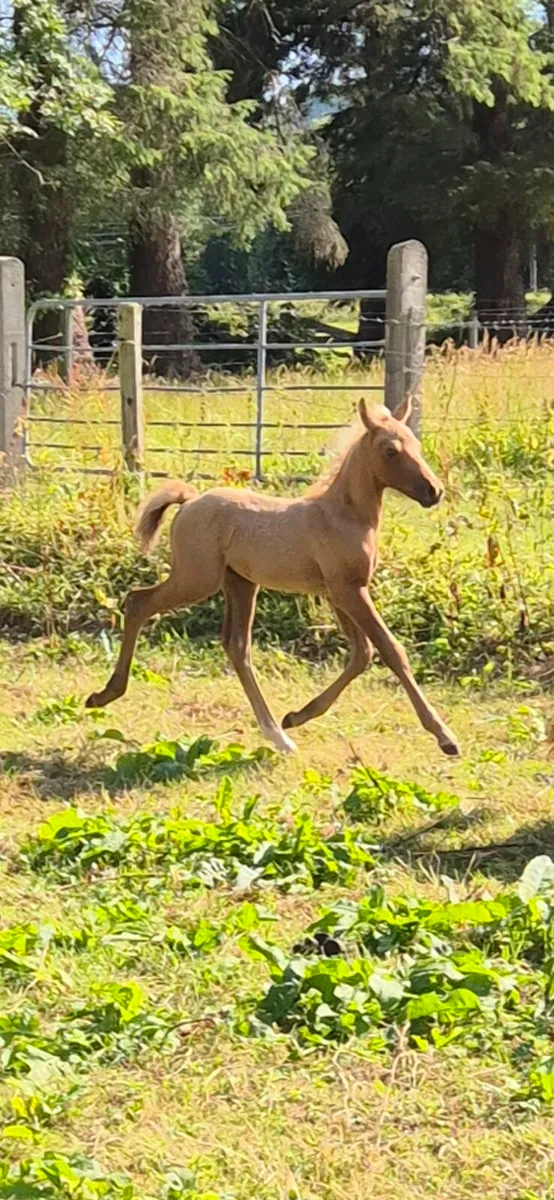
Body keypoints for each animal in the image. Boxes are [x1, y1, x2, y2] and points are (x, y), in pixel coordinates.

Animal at [86, 397, 459, 757]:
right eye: (390, 450)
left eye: (416, 445)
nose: (434, 491)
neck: (343, 515)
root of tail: (190, 501)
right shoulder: (349, 591)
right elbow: (391, 650)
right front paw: (445, 737)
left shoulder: (339, 592)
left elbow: (361, 654)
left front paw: (296, 716)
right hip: (197, 578)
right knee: (138, 602)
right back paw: (105, 694)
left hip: (239, 583)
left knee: (236, 646)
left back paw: (277, 735)